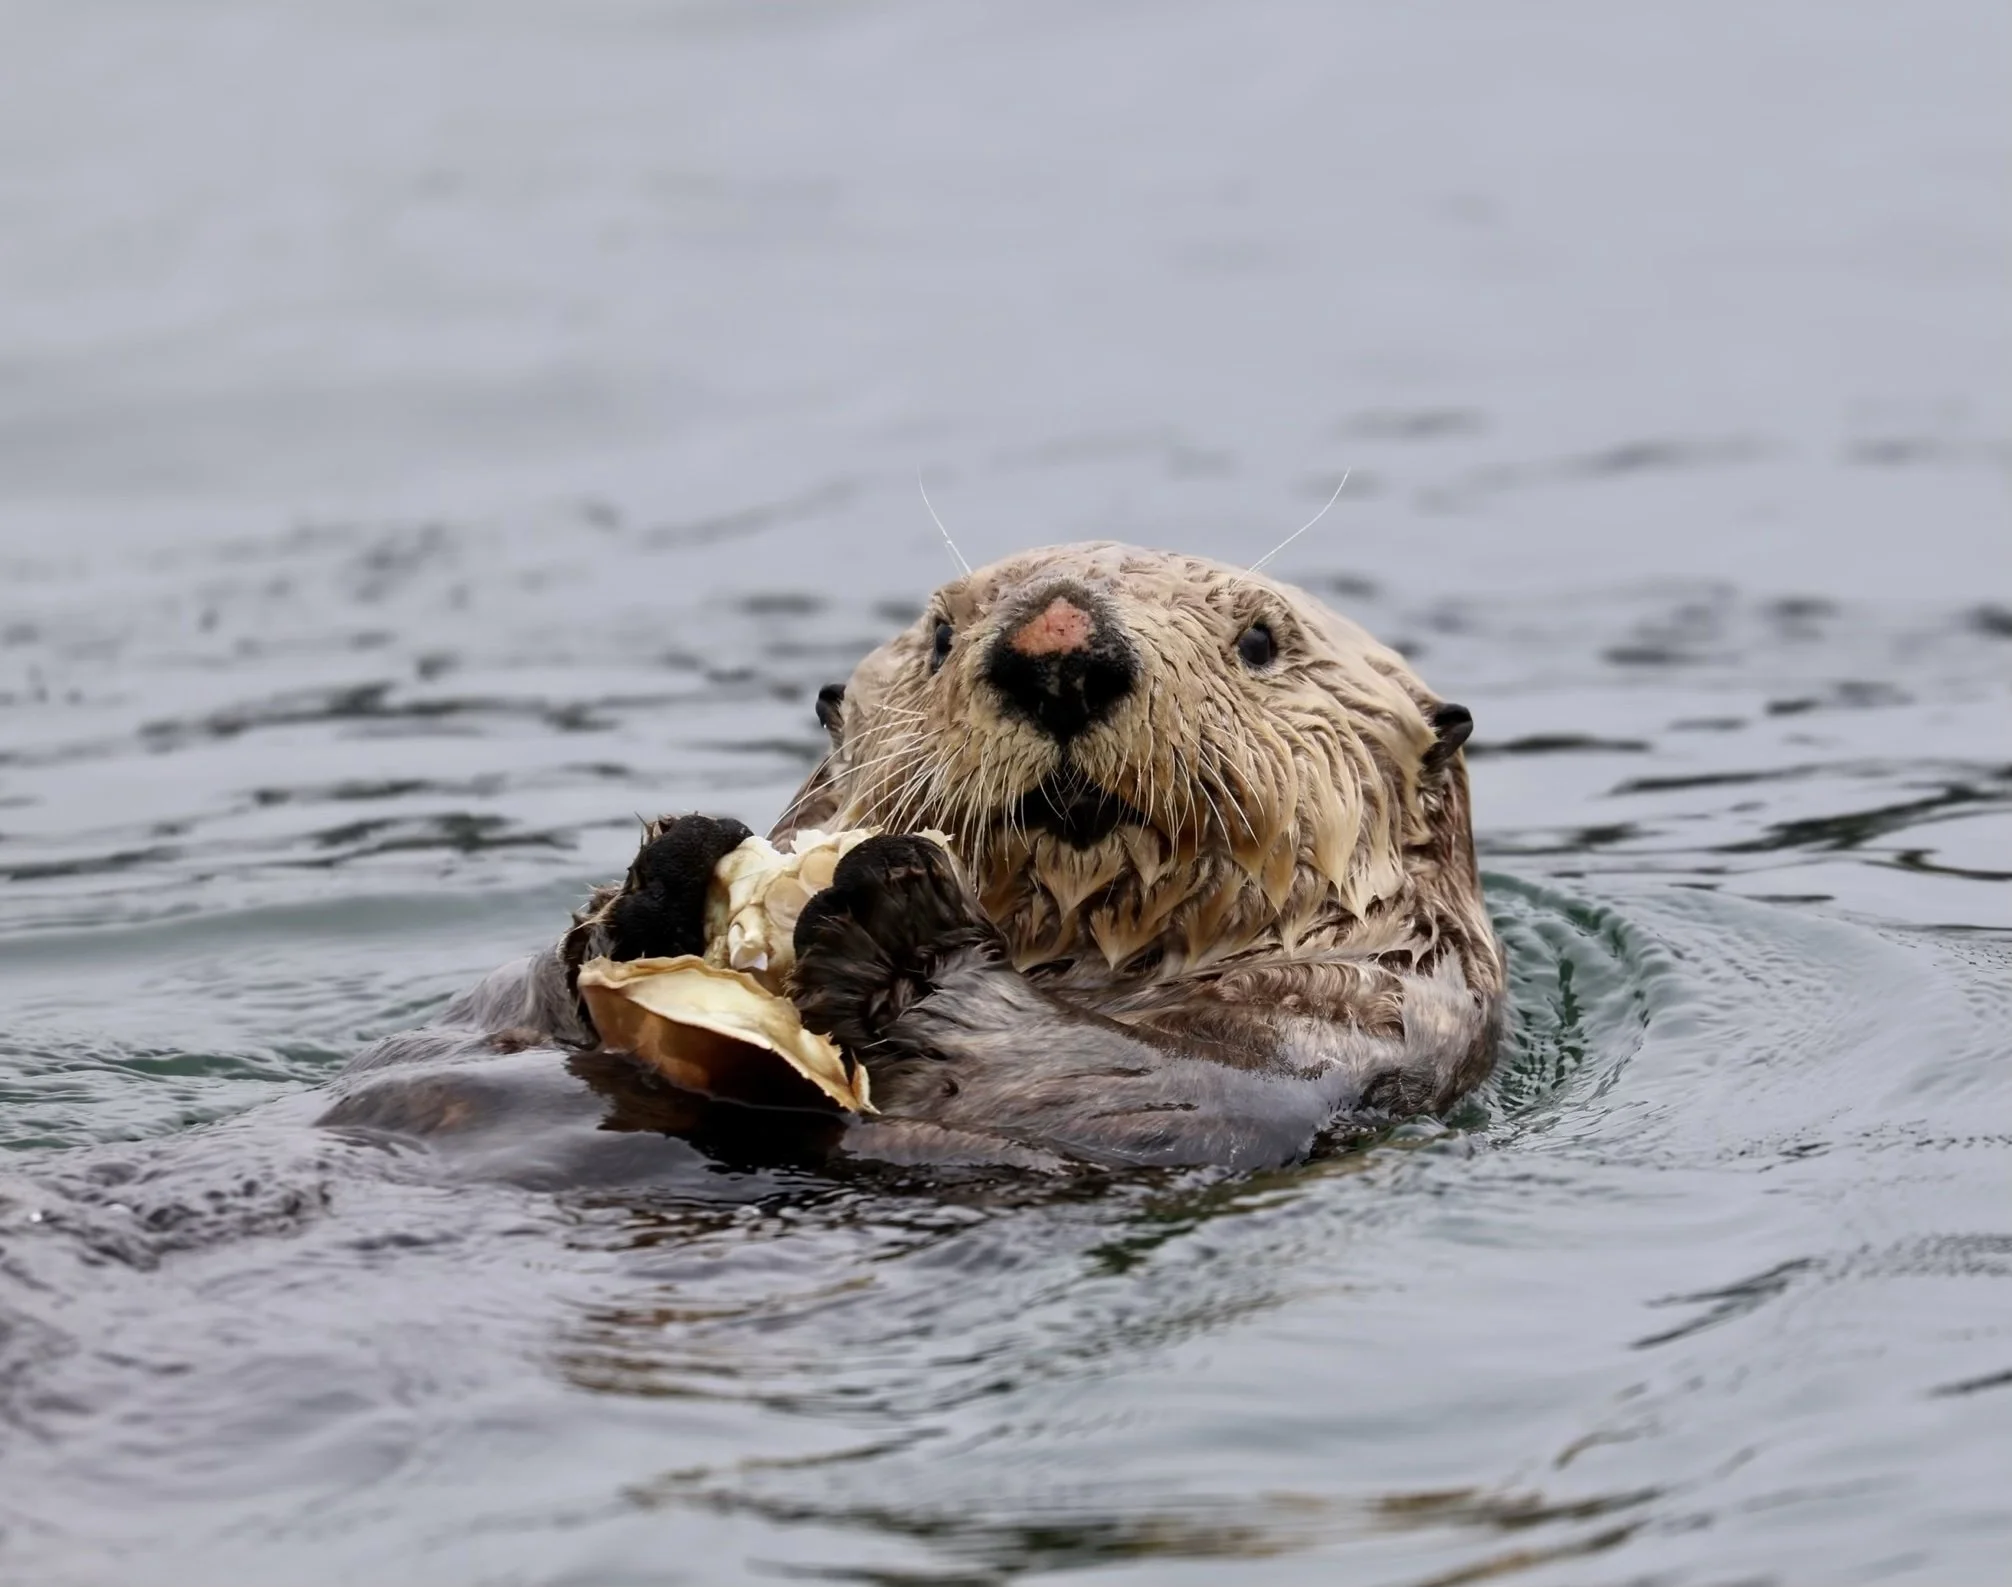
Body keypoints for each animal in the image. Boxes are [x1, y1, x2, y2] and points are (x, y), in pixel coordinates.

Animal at [322, 542, 1502, 1175]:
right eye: (938, 634)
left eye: (1261, 640)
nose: (1058, 648)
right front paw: (665, 883)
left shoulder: (1337, 1027)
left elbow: (1140, 1085)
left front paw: (898, 925)